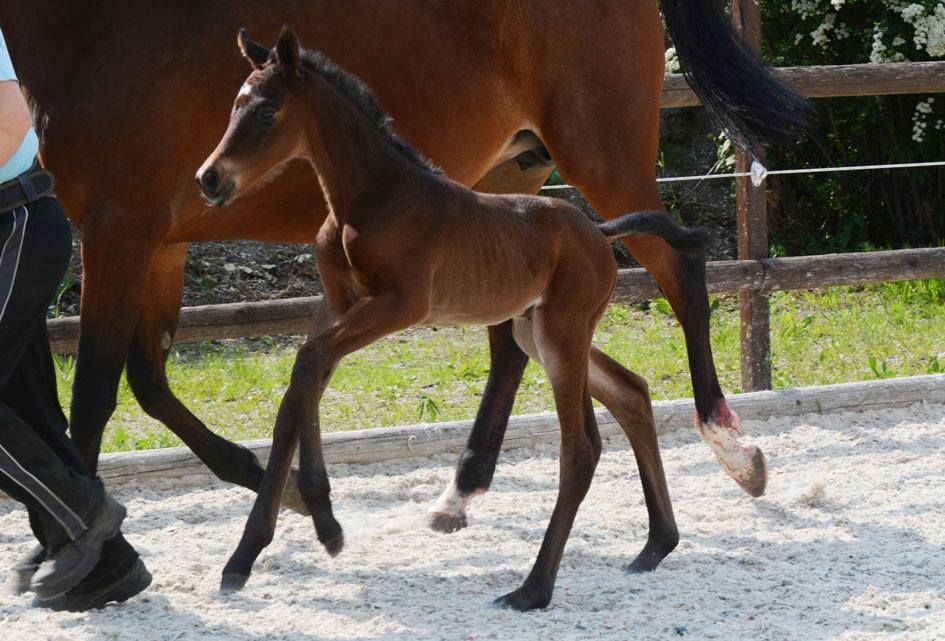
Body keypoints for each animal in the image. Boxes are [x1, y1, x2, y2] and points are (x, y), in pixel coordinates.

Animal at [1, 1, 804, 516]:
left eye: (263, 111)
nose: (212, 178)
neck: (93, 31)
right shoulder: (159, 245)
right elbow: (148, 382)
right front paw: (270, 481)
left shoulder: (120, 228)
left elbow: (95, 394)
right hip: (510, 183)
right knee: (511, 343)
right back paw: (464, 485)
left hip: (603, 154)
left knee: (684, 278)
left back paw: (732, 445)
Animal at [201, 27, 716, 608]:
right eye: (235, 105)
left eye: (266, 112)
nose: (209, 179)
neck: (375, 198)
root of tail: (600, 232)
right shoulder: (337, 304)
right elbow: (299, 387)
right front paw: (250, 555)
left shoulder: (400, 304)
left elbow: (308, 365)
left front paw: (323, 522)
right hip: (538, 330)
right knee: (631, 392)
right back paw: (655, 546)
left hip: (560, 333)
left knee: (582, 449)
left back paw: (532, 589)